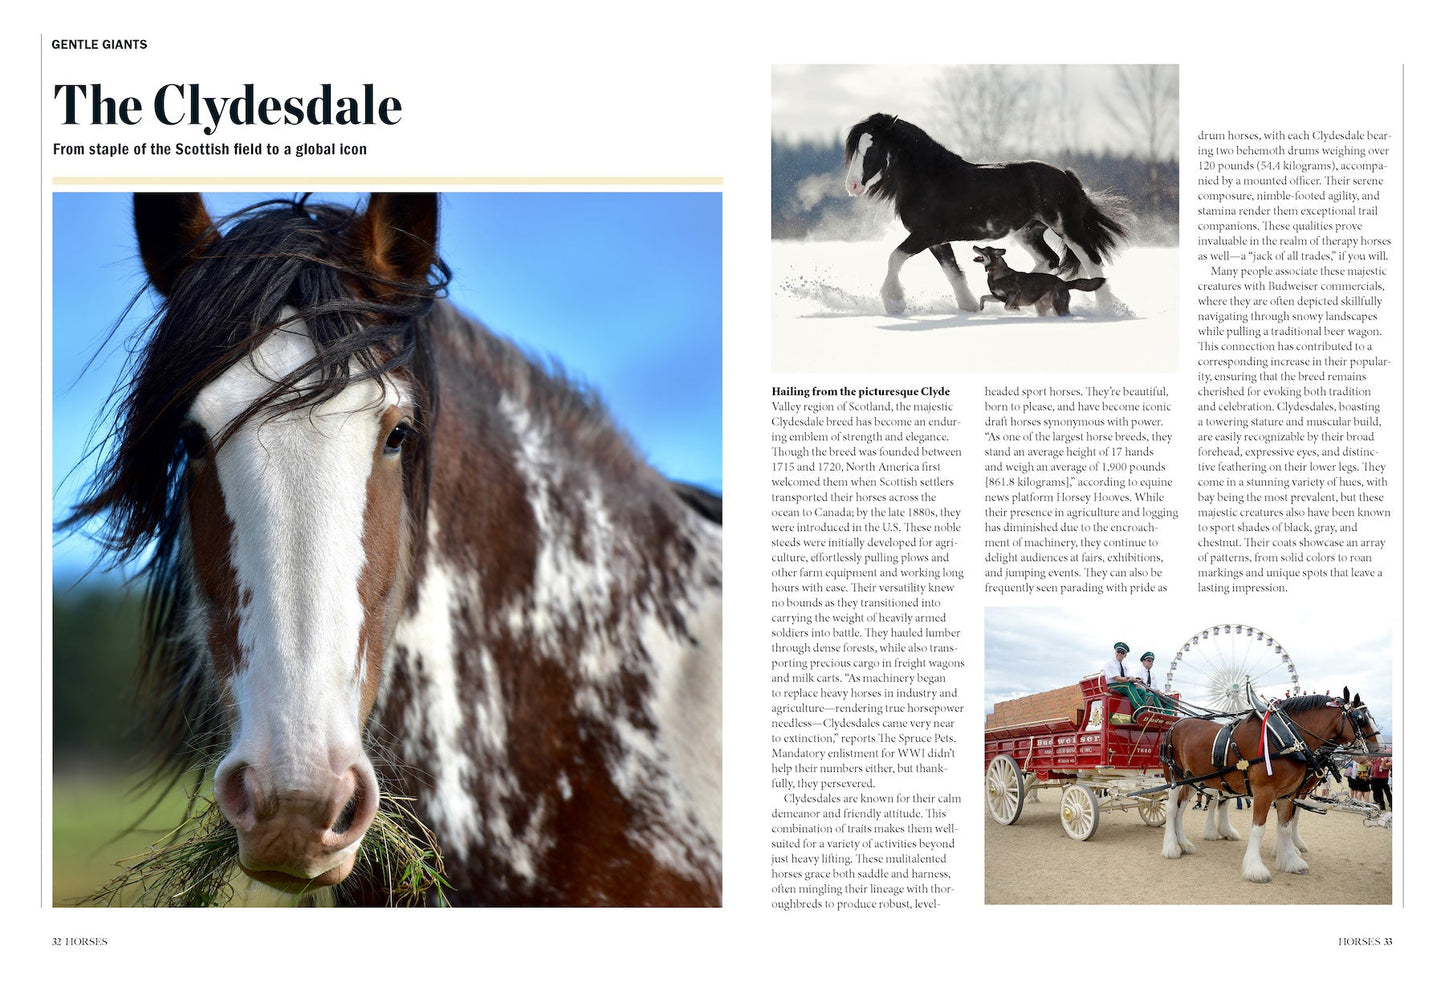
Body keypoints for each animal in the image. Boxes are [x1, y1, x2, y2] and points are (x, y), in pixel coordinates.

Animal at [843, 113, 1128, 316]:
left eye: (872, 148)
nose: (852, 186)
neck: (931, 179)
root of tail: (1067, 178)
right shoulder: (936, 240)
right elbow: (953, 272)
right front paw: (968, 307)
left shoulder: (927, 234)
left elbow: (895, 258)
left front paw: (894, 303)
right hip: (1028, 231)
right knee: (1049, 259)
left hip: (1066, 227)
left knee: (1092, 260)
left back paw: (1107, 310)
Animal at [1158, 688, 1380, 883]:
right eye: (1360, 718)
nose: (1376, 750)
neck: (1287, 737)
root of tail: (1175, 725)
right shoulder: (1264, 792)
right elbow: (1259, 828)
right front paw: (1255, 868)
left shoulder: (1288, 794)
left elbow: (1285, 826)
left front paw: (1290, 859)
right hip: (1173, 778)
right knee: (1171, 808)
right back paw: (1171, 847)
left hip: (1192, 780)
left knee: (1181, 809)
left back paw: (1184, 843)